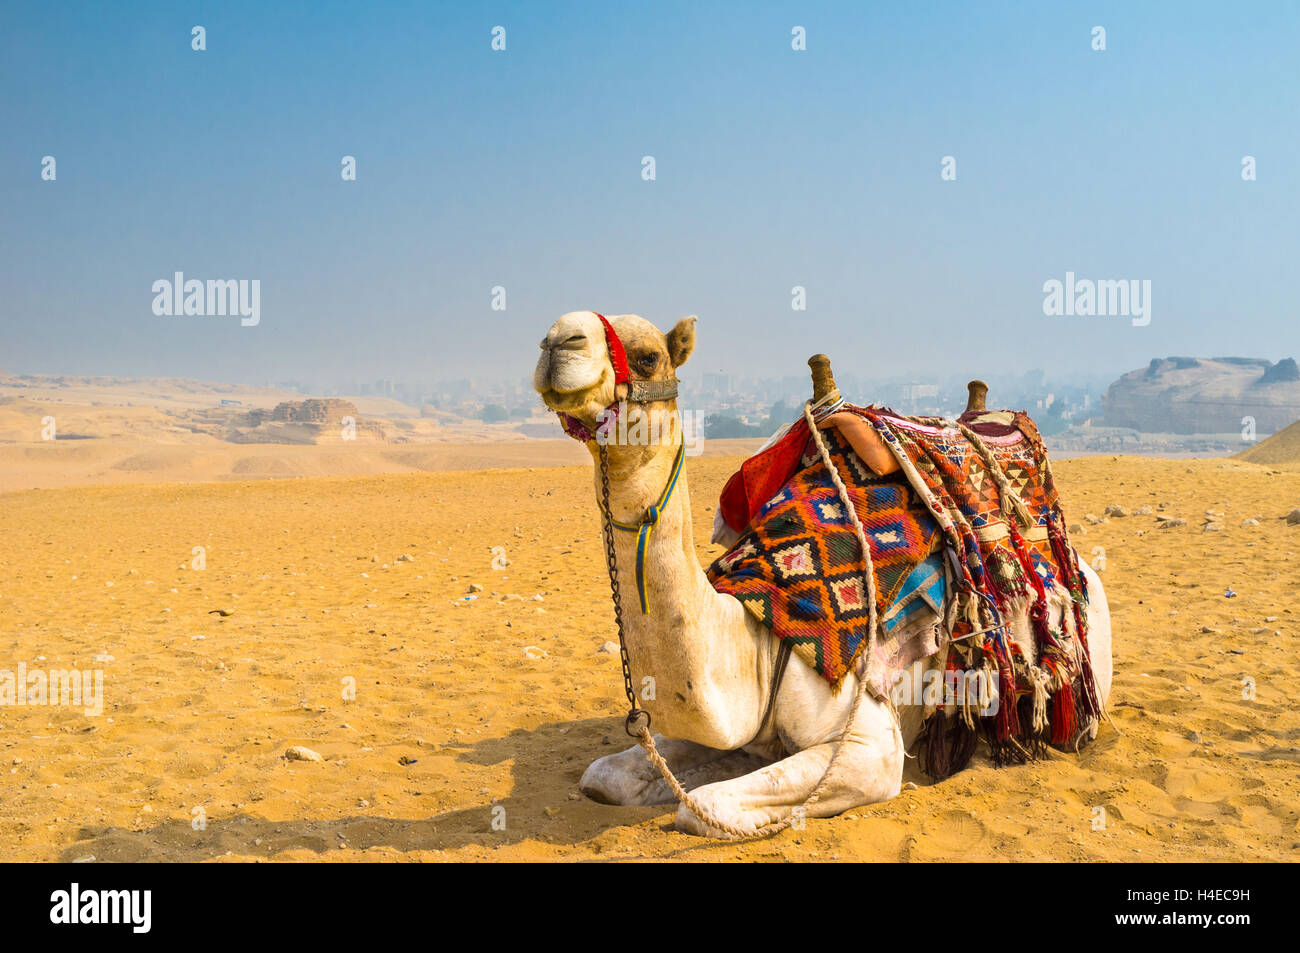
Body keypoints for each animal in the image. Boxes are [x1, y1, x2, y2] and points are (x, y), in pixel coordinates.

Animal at [533, 310, 1113, 837]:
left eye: (649, 356)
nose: (557, 339)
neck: (757, 637)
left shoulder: (870, 747)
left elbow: (704, 807)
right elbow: (603, 776)